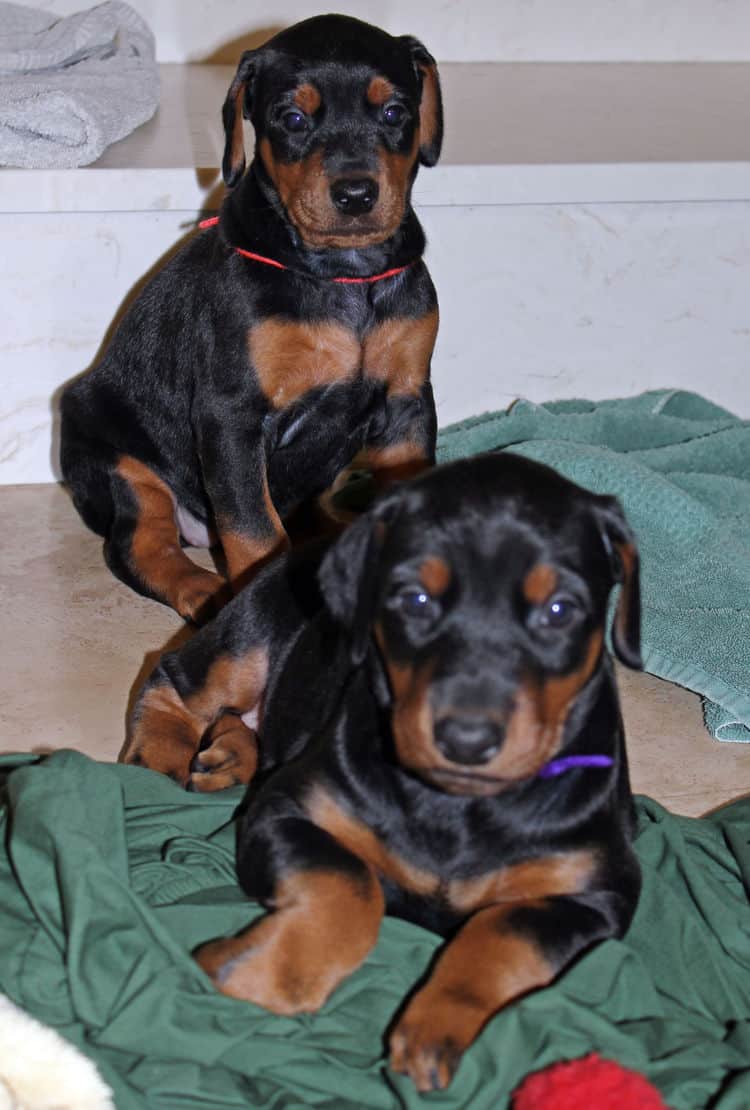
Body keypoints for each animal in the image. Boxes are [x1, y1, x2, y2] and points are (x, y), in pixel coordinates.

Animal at [62, 15, 446, 626]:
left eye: (393, 112)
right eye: (292, 119)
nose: (356, 194)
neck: (342, 275)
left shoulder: (407, 402)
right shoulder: (230, 416)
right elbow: (254, 529)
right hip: (118, 460)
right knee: (138, 544)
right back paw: (201, 590)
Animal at [123, 452, 643, 1092]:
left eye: (560, 610)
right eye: (414, 599)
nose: (467, 738)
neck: (456, 805)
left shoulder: (596, 893)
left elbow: (505, 932)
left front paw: (433, 1030)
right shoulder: (292, 810)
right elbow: (349, 883)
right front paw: (259, 973)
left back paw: (227, 757)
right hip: (254, 624)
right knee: (175, 680)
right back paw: (156, 760)